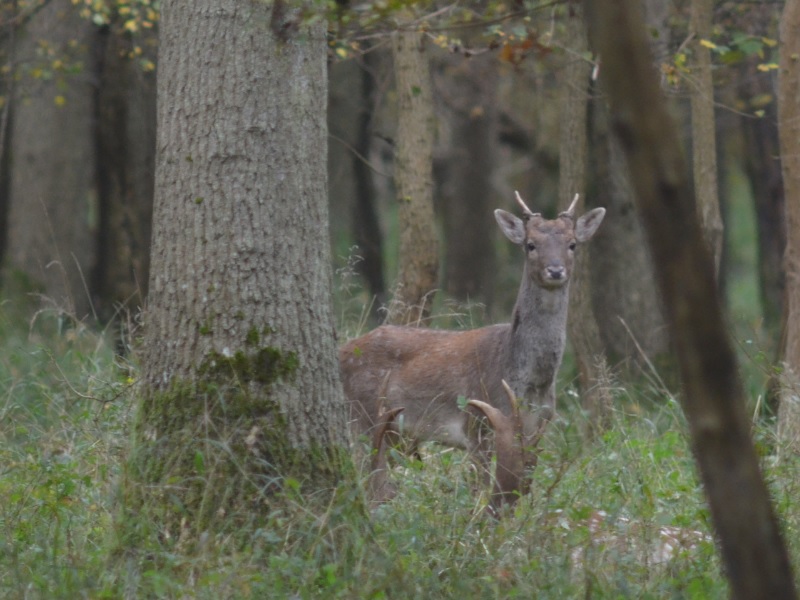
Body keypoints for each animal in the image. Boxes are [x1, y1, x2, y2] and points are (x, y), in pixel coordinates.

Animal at [340, 191, 608, 506]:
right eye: (530, 244)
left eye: (572, 244)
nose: (555, 270)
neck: (527, 381)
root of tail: (341, 351)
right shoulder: (477, 422)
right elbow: (481, 487)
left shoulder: (540, 425)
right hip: (362, 416)